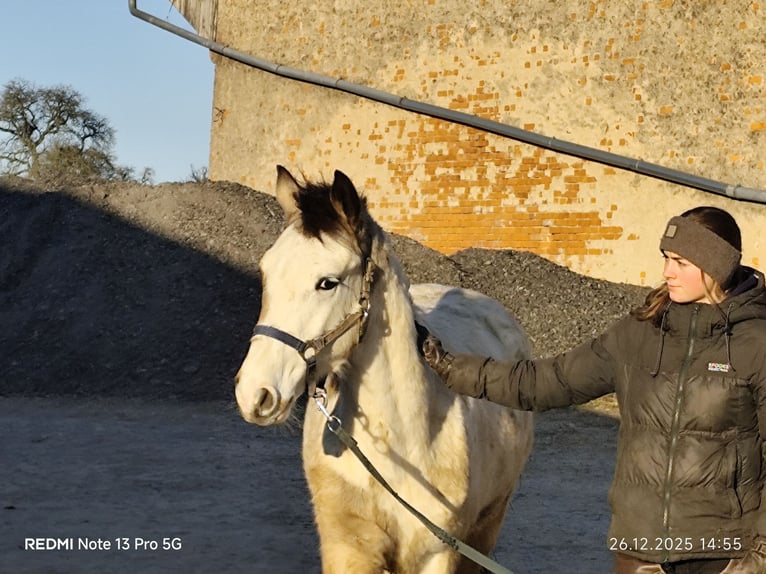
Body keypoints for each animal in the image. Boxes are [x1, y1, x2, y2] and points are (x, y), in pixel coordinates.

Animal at [235, 166, 533, 574]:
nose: (255, 394)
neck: (400, 444)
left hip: (487, 525)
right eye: (266, 273)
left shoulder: (438, 553)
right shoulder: (349, 548)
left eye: (328, 282)